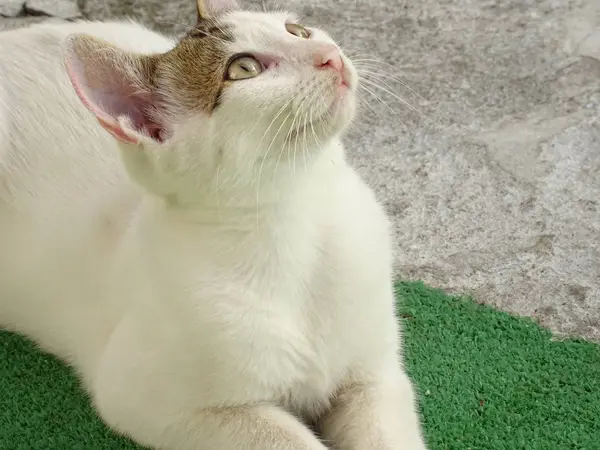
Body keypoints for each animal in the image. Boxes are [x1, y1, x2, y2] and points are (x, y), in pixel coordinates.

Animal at [0, 0, 428, 450]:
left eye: (297, 31)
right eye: (243, 68)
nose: (329, 55)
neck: (302, 221)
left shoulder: (375, 376)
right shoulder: (145, 399)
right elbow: (288, 439)